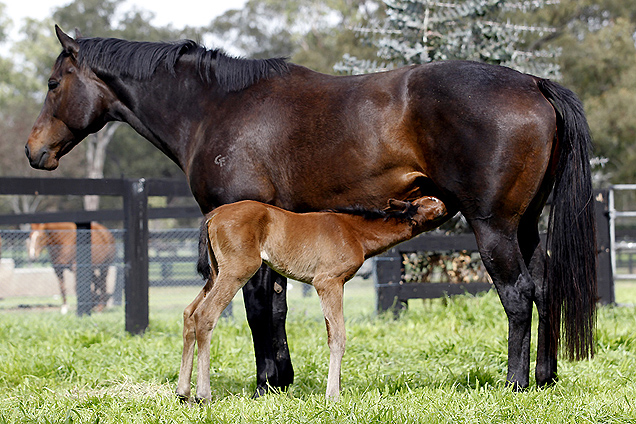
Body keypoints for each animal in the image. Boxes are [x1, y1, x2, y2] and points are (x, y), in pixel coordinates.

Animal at [176, 195, 448, 400]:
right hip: (237, 270)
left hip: (216, 273)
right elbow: (337, 336)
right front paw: (333, 395)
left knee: (189, 312)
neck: (354, 231)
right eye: (431, 201)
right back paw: (203, 394)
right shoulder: (328, 282)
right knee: (205, 315)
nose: (447, 205)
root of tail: (213, 215)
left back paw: (183, 392)